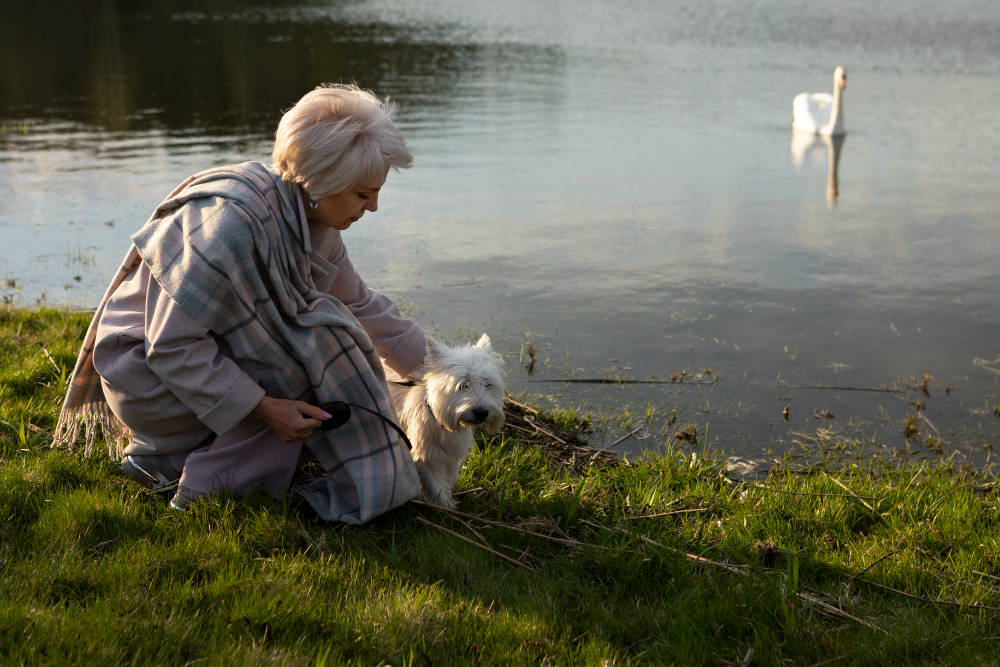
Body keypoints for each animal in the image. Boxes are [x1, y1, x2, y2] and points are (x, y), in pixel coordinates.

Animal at [386, 336, 504, 508]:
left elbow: (450, 479)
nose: (482, 412)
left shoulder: (451, 455)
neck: (440, 423)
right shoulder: (425, 458)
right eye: (463, 385)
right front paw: (447, 508)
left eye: (488, 384)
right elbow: (437, 488)